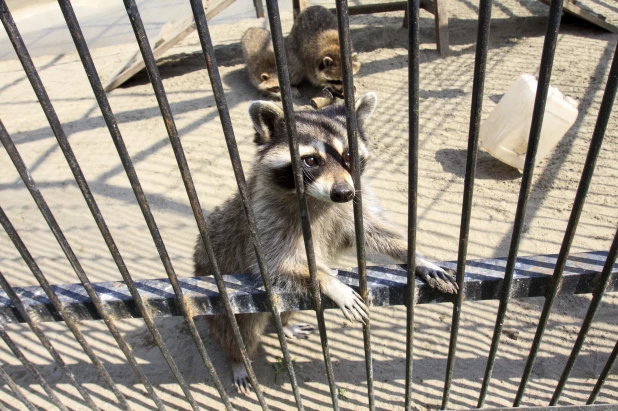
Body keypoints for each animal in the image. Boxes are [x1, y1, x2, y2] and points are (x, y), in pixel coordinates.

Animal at [192, 92, 458, 392]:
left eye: (349, 155)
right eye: (311, 160)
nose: (343, 192)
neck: (315, 198)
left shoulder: (353, 204)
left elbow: (373, 232)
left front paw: (416, 257)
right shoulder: (263, 221)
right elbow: (277, 266)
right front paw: (331, 283)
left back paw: (285, 324)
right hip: (225, 299)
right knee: (238, 330)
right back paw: (238, 359)